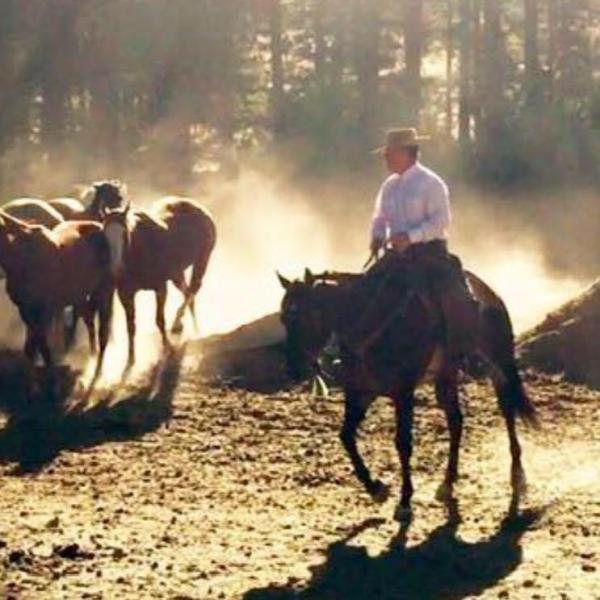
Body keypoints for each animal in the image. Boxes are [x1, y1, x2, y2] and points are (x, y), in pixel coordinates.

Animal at [0, 211, 113, 376]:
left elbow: (41, 346)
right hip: (80, 297)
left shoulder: (45, 309)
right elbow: (31, 348)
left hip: (104, 290)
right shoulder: (25, 310)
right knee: (89, 321)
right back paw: (92, 354)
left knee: (102, 330)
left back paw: (97, 370)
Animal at [102, 197, 216, 366]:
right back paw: (188, 326)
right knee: (188, 292)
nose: (116, 268)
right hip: (177, 273)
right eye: (105, 236)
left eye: (124, 234)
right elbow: (131, 326)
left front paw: (168, 348)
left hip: (202, 259)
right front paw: (131, 358)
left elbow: (159, 320)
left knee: (194, 289)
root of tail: (199, 208)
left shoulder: (160, 288)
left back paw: (179, 325)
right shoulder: (125, 294)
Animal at [278, 270, 540, 524]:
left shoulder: (403, 393)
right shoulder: (361, 393)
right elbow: (346, 436)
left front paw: (404, 502)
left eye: (303, 316)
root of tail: (491, 295)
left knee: (507, 409)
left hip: (498, 362)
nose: (292, 368)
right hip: (446, 376)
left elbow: (403, 443)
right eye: (283, 318)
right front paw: (376, 489)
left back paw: (517, 474)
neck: (370, 320)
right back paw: (448, 483)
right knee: (456, 421)